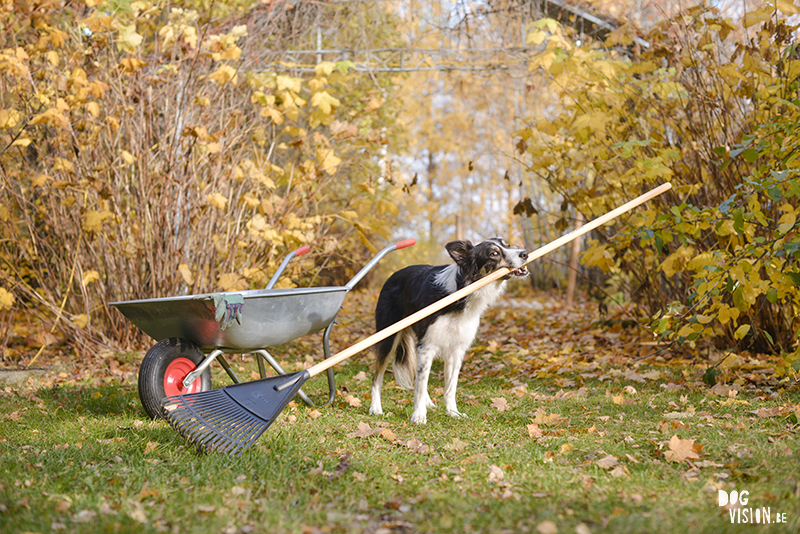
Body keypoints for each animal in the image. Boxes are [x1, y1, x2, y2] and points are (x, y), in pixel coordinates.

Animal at [370, 241, 532, 426]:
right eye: (493, 254)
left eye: (508, 244)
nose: (525, 253)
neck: (461, 293)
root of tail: (392, 276)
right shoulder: (427, 347)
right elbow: (420, 385)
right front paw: (419, 415)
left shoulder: (456, 350)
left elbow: (449, 387)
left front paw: (453, 412)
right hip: (388, 338)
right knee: (377, 377)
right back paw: (375, 408)